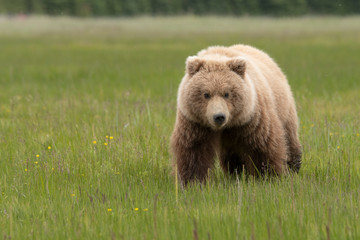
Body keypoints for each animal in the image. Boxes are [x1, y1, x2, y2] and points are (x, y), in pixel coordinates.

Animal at [170, 44, 302, 185]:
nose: (219, 116)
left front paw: (267, 176)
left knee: (289, 137)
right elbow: (194, 150)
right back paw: (236, 174)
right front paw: (192, 181)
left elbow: (262, 146)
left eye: (226, 93)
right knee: (232, 156)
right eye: (206, 94)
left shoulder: (252, 117)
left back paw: (293, 167)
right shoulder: (195, 122)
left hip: (283, 107)